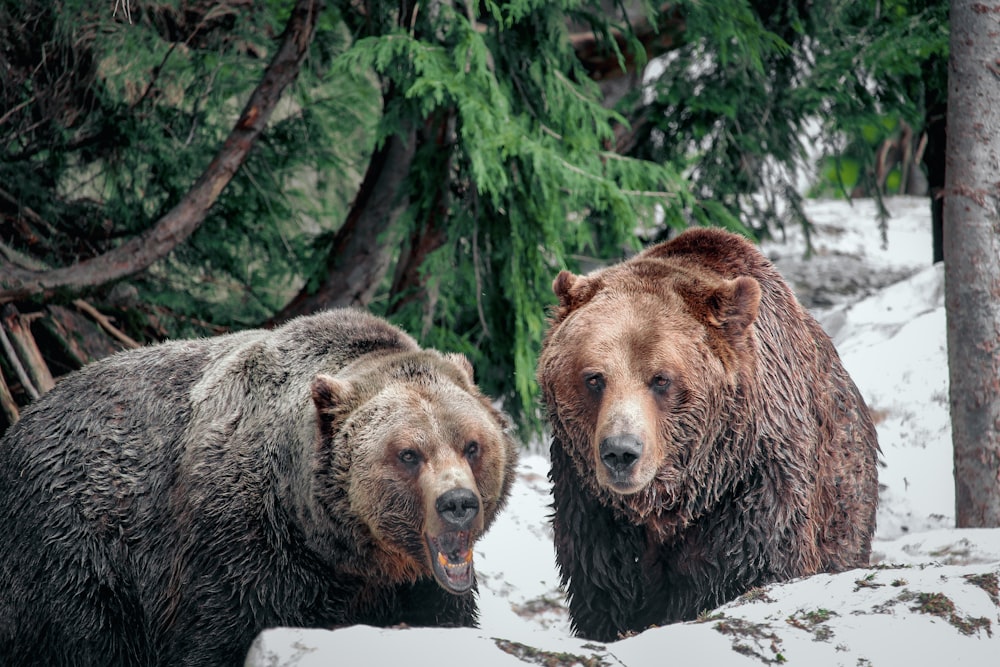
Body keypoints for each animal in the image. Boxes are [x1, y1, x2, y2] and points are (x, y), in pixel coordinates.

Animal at [0, 310, 520, 664]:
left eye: (472, 445)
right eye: (409, 453)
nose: (458, 503)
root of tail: (24, 418)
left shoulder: (418, 586)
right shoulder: (243, 552)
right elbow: (220, 636)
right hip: (76, 549)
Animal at [540, 228, 876, 640]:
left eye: (661, 378)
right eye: (594, 378)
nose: (620, 452)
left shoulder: (751, 490)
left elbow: (751, 568)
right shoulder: (592, 510)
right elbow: (605, 595)